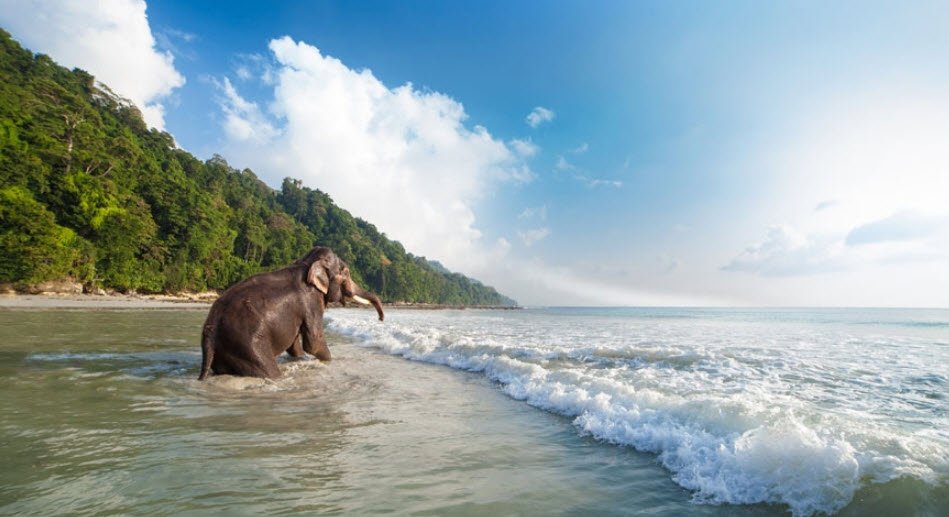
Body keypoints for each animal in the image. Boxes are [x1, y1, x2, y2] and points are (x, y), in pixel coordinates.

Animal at [198, 246, 384, 380]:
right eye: (345, 272)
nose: (381, 319)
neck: (306, 263)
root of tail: (210, 331)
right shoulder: (311, 301)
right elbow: (314, 343)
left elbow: (295, 343)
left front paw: (301, 358)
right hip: (248, 346)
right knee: (269, 371)